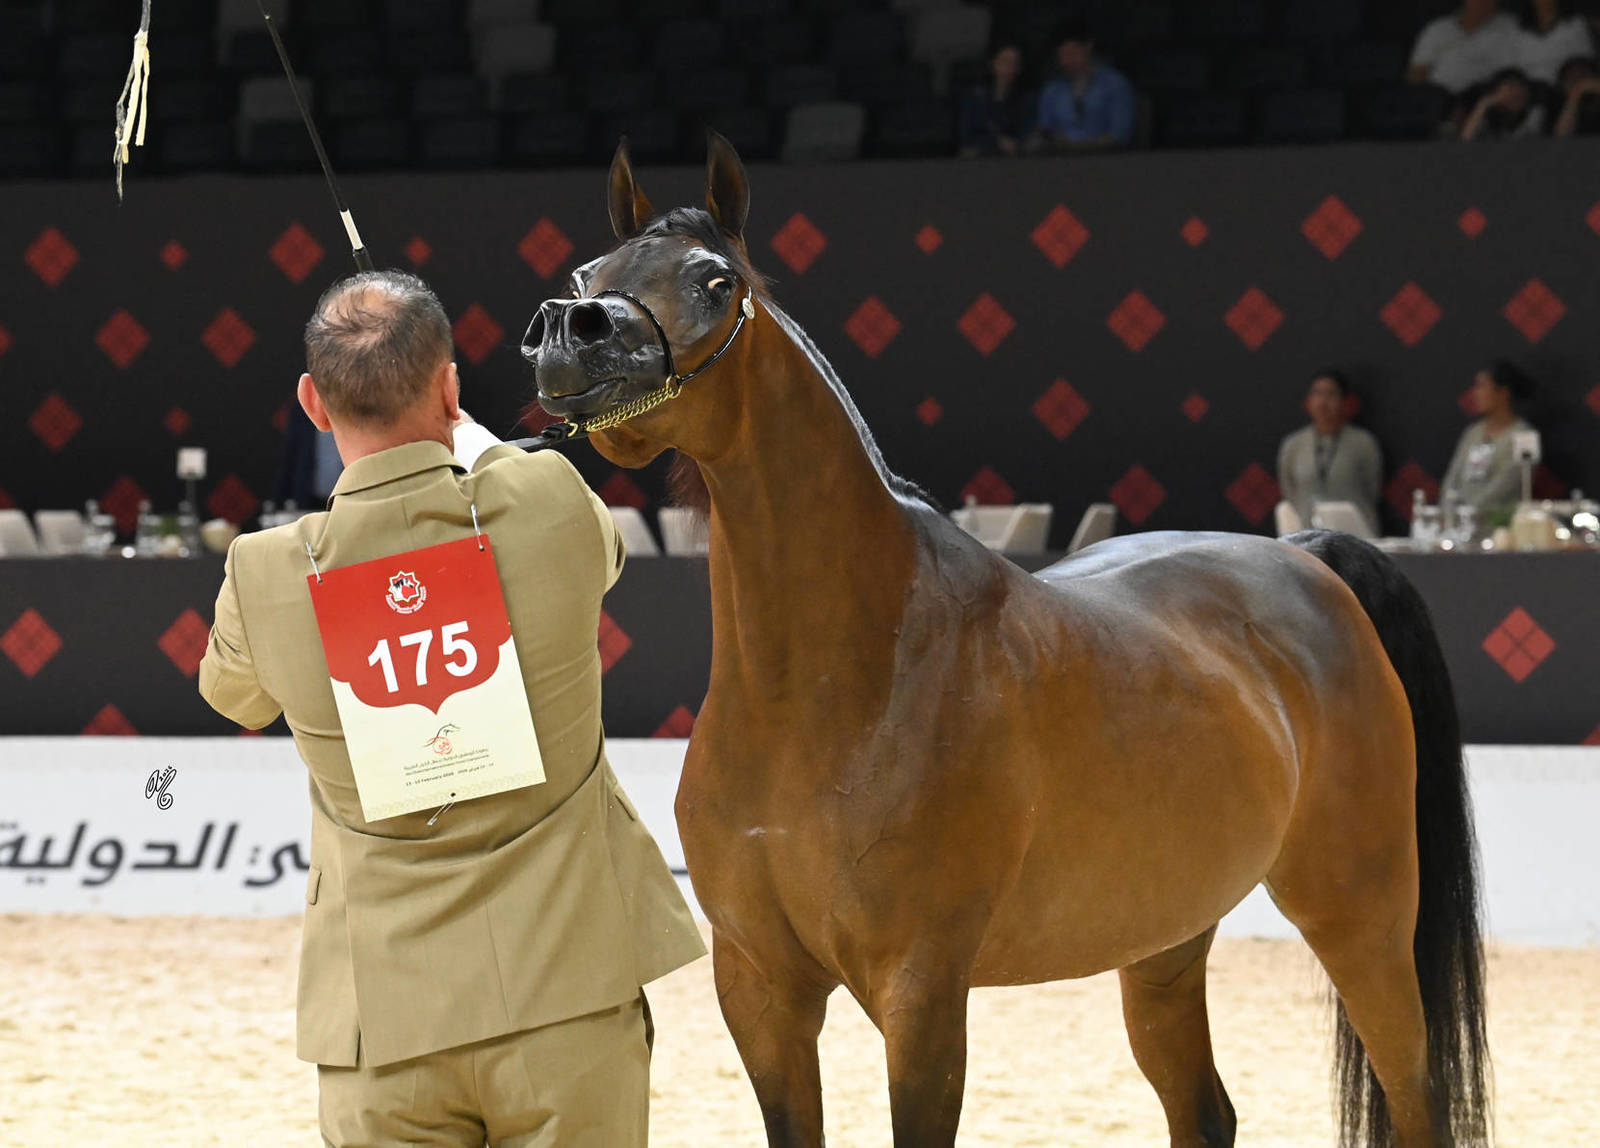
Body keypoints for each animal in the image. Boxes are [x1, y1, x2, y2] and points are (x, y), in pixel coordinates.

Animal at [519, 133, 1489, 1148]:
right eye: (587, 272)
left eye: (715, 280)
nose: (571, 333)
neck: (838, 687)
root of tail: (1308, 559)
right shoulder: (759, 989)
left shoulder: (922, 995)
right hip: (1165, 940)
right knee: (1204, 1109)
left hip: (1361, 919)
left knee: (1414, 1093)